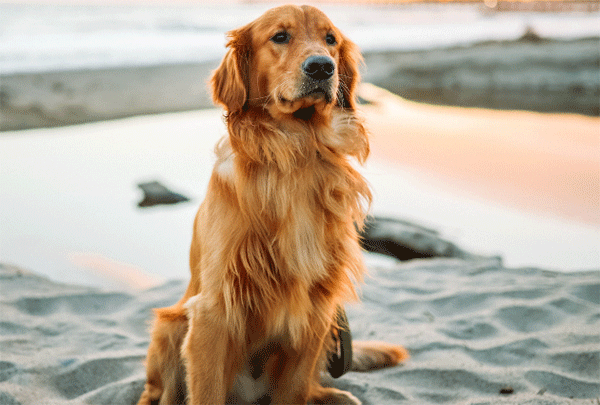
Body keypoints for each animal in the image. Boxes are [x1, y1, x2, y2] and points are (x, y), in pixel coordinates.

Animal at [137, 3, 408, 404]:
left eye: (331, 39)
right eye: (280, 36)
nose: (321, 66)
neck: (297, 152)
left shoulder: (316, 308)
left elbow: (294, 389)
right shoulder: (213, 310)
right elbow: (206, 389)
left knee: (311, 386)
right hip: (170, 327)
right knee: (158, 391)